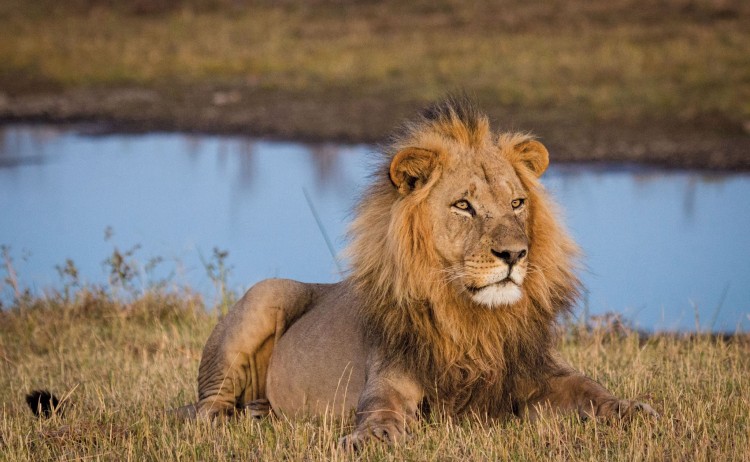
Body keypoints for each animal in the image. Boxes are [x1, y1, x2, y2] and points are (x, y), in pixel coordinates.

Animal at [178, 95, 657, 446]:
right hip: (263, 295)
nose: (515, 254)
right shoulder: (390, 378)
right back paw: (236, 418)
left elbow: (591, 390)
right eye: (463, 206)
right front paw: (371, 438)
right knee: (204, 407)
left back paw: (260, 411)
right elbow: (381, 409)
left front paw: (635, 411)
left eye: (517, 202)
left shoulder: (539, 371)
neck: (473, 319)